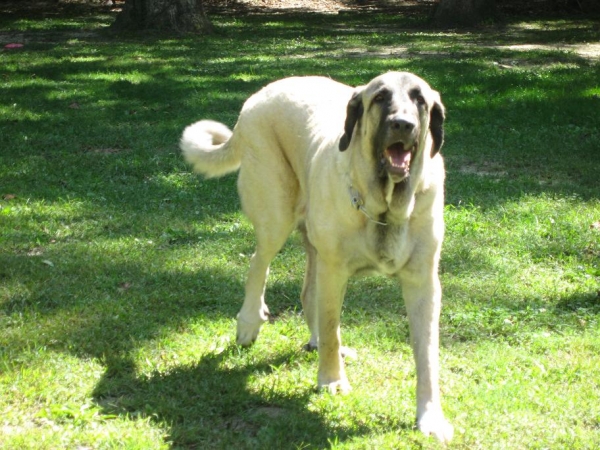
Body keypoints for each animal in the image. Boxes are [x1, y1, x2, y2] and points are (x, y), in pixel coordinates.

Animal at [180, 72, 452, 442]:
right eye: (380, 98)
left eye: (419, 99)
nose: (402, 124)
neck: (385, 208)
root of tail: (258, 97)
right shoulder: (334, 270)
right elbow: (331, 326)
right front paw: (332, 380)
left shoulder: (422, 282)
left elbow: (427, 355)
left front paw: (430, 416)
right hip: (276, 216)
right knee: (258, 264)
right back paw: (249, 322)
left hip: (314, 248)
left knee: (308, 294)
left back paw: (314, 341)